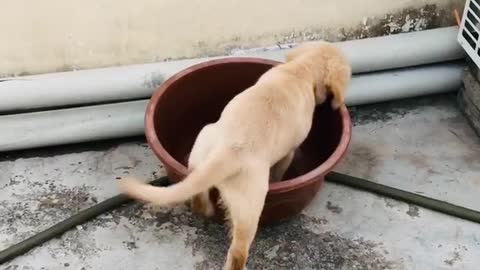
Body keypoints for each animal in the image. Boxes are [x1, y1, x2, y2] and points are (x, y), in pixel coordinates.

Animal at [118, 40, 350, 270]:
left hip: (203, 142)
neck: (301, 71)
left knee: (198, 195)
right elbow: (281, 169)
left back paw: (206, 209)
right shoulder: (290, 151)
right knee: (239, 250)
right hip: (251, 203)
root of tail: (229, 153)